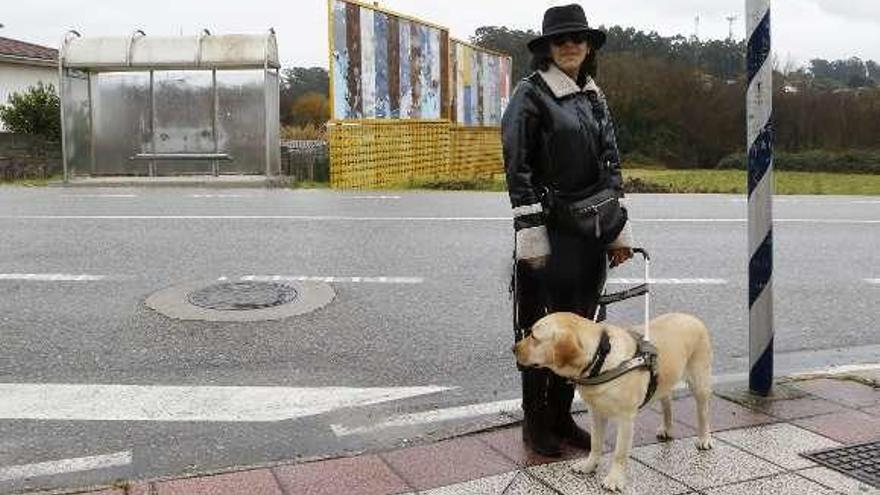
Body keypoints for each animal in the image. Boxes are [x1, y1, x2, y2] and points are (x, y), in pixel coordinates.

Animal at [512, 314, 712, 492]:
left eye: (534, 337)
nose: (513, 348)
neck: (601, 360)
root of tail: (691, 317)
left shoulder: (626, 419)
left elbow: (619, 453)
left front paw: (615, 480)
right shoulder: (595, 412)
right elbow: (595, 443)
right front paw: (589, 466)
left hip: (700, 382)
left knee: (703, 413)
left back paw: (704, 439)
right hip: (664, 380)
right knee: (667, 400)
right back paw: (667, 428)